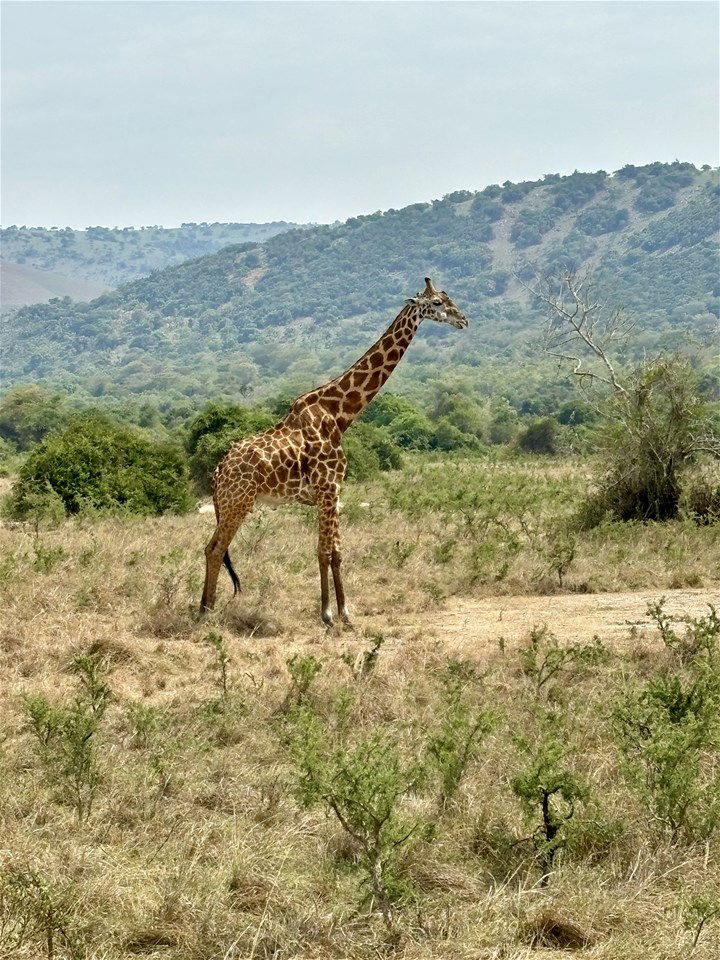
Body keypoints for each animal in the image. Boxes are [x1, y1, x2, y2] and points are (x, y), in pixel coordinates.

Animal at [200, 278, 466, 628]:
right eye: (436, 303)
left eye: (448, 298)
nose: (463, 320)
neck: (339, 416)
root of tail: (217, 473)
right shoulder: (327, 488)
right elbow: (323, 552)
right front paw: (326, 615)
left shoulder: (334, 491)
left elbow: (337, 552)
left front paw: (345, 613)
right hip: (238, 502)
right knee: (215, 549)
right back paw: (206, 612)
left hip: (231, 503)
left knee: (211, 548)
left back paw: (204, 608)